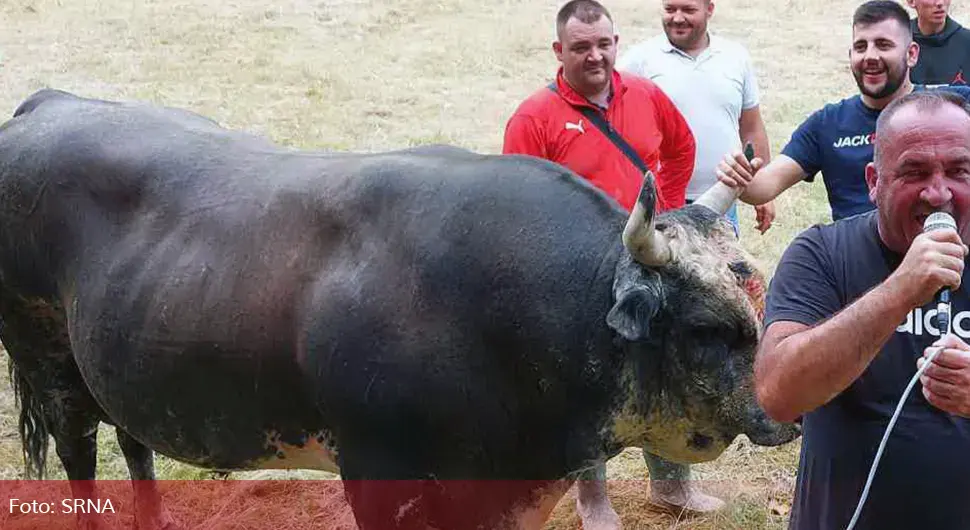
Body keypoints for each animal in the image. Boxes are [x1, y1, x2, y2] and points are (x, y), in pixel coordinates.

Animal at [0, 88, 796, 524]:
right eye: (705, 327)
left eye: (753, 289)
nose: (784, 414)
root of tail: (48, 104)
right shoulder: (380, 476)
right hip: (48, 366)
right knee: (79, 455)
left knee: (133, 441)